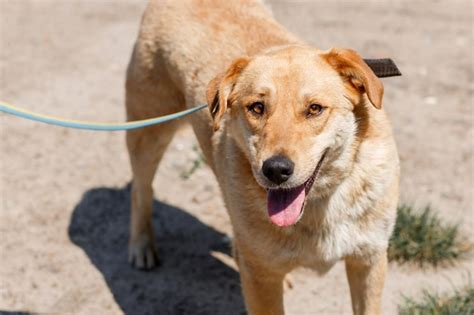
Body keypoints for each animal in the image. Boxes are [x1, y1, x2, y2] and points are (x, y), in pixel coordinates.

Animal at [124, 1, 398, 314]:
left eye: (315, 109)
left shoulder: (368, 260)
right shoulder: (259, 277)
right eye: (257, 107)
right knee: (141, 188)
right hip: (147, 131)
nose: (276, 170)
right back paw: (141, 245)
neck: (320, 206)